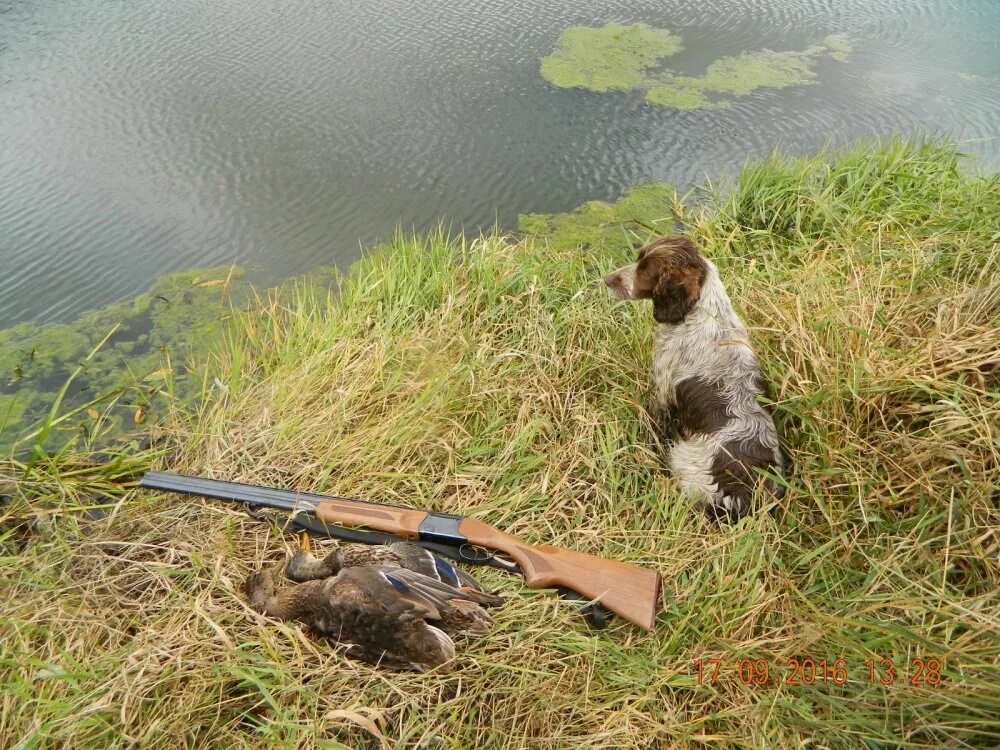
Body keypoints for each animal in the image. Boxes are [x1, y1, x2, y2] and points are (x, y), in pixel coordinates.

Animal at [604, 235, 784, 524]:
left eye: (645, 271)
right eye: (638, 258)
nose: (607, 280)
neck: (701, 313)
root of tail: (740, 495)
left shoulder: (662, 388)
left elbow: (653, 427)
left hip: (682, 459)